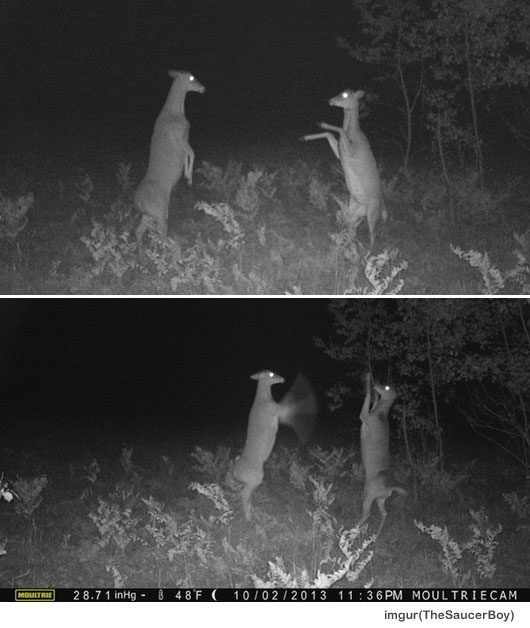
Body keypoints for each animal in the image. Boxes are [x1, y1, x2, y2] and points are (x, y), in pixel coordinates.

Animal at [134, 68, 204, 245]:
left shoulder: (184, 140)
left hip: (149, 214)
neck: (175, 111)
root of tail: (137, 204)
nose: (203, 88)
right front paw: (189, 178)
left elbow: (187, 155)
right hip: (158, 213)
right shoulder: (180, 138)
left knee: (139, 231)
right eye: (191, 77)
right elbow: (191, 153)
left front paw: (186, 176)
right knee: (160, 234)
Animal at [225, 368, 316, 520]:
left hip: (251, 481)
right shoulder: (277, 410)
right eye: (271, 374)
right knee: (243, 495)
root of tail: (235, 471)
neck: (263, 399)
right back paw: (249, 517)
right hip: (255, 478)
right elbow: (292, 405)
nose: (283, 378)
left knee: (244, 494)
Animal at [302, 89, 384, 247]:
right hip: (354, 209)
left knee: (373, 234)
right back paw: (346, 244)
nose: (330, 100)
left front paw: (322, 123)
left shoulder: (353, 151)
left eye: (346, 95)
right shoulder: (341, 154)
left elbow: (338, 129)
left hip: (372, 210)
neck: (353, 131)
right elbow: (330, 134)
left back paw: (367, 251)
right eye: (341, 91)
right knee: (352, 227)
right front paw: (305, 137)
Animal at [354, 370, 404, 536]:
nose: (378, 383)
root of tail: (389, 489)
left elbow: (367, 401)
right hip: (380, 498)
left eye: (387, 386)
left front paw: (369, 381)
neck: (380, 412)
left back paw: (353, 528)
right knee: (384, 513)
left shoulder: (366, 417)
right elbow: (374, 400)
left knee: (367, 513)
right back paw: (376, 535)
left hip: (369, 492)